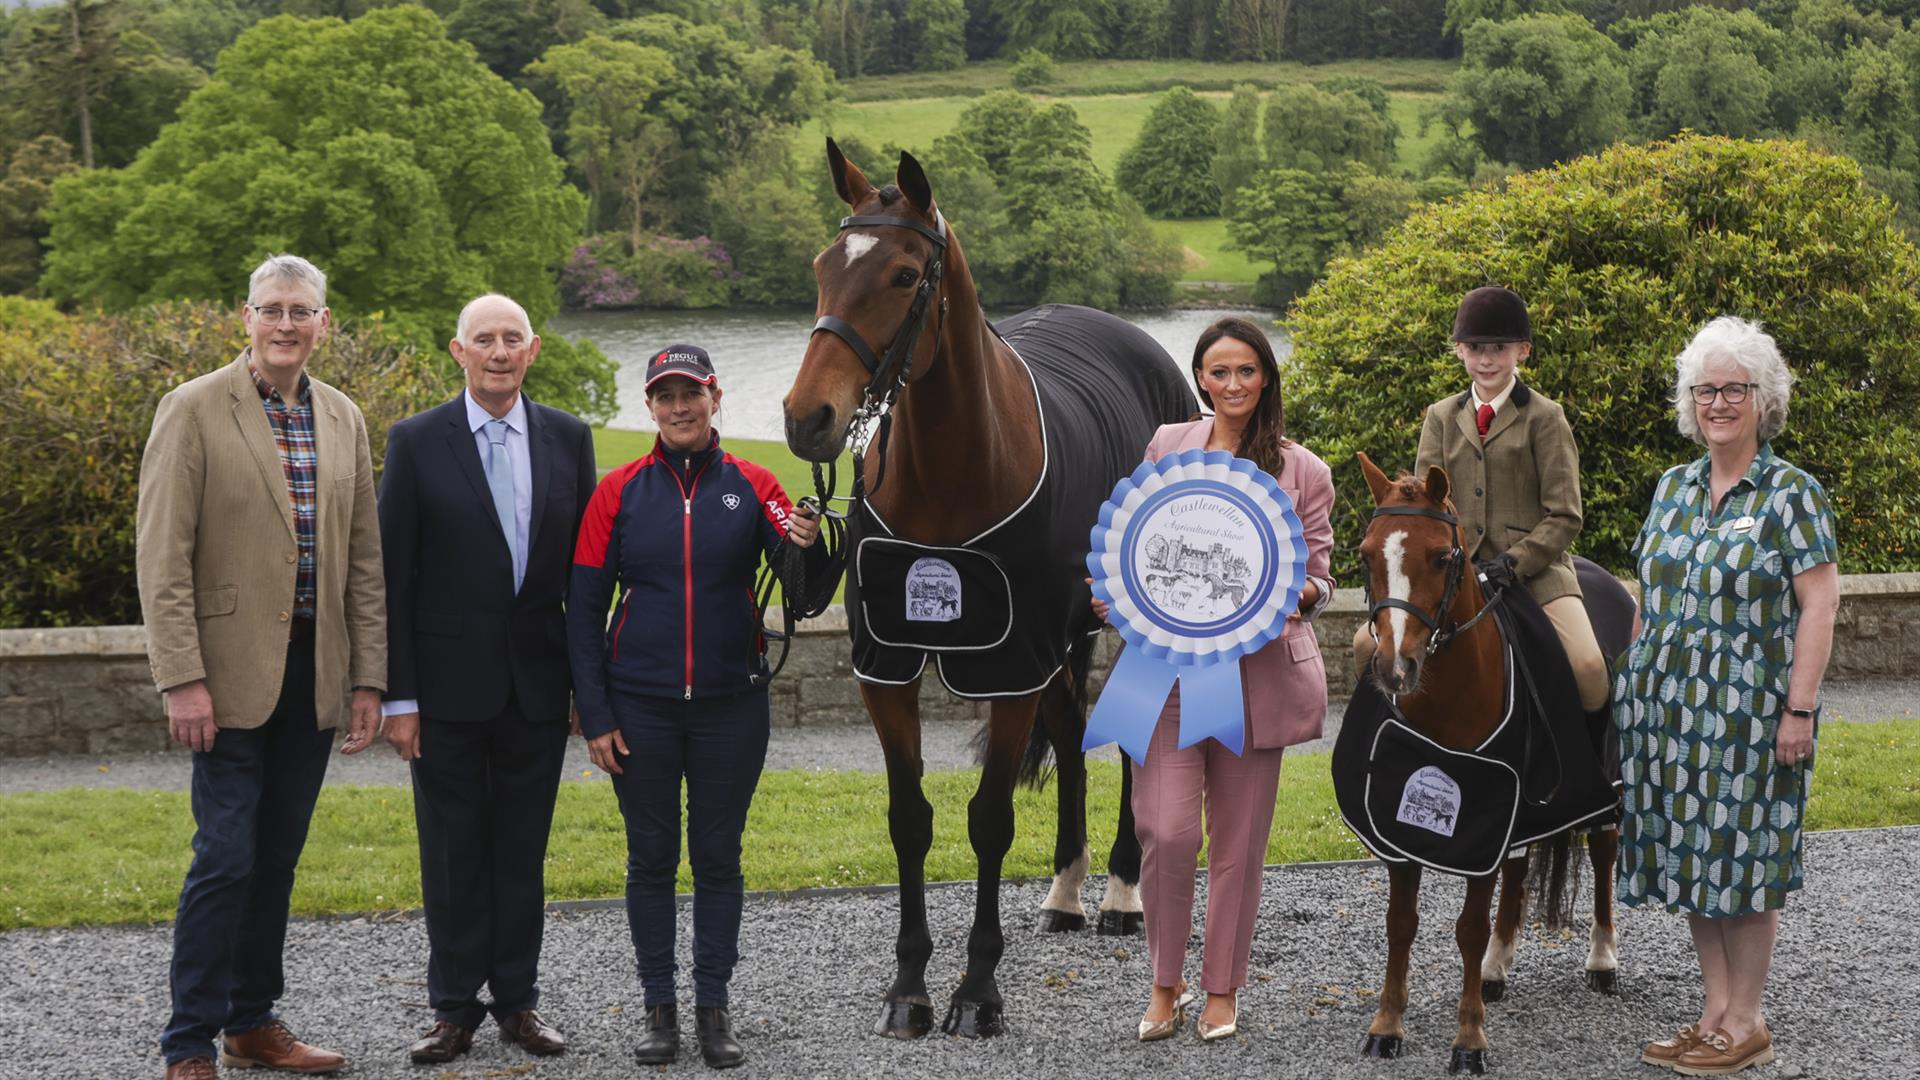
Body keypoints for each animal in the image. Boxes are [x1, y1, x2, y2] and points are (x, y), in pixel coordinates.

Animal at [787, 143, 1190, 1037]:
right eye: (824, 266)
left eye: (905, 275)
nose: (806, 418)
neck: (952, 472)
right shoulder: (888, 667)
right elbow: (911, 821)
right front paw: (908, 988)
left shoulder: (1010, 667)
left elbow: (989, 820)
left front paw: (976, 991)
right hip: (1063, 638)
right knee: (1072, 735)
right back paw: (1068, 890)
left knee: (1131, 741)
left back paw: (1121, 891)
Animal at [1344, 451, 1628, 1068]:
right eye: (1366, 554)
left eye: (1440, 556)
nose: (1393, 669)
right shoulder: (1405, 820)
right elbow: (1400, 924)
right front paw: (1387, 1025)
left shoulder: (1480, 815)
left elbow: (1469, 927)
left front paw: (1468, 1040)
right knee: (1519, 863)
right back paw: (1498, 967)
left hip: (1607, 783)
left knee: (1603, 850)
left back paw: (1602, 959)